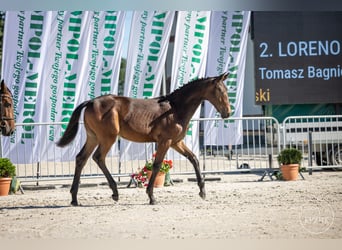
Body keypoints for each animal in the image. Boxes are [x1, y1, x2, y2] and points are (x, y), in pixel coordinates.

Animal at [57, 72, 231, 205]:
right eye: (220, 90)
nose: (227, 113)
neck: (175, 108)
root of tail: (91, 101)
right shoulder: (165, 142)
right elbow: (157, 165)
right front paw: (151, 196)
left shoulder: (176, 142)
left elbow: (194, 158)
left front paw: (202, 191)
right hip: (108, 138)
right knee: (98, 157)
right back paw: (114, 192)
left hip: (93, 137)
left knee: (81, 158)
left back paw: (74, 198)